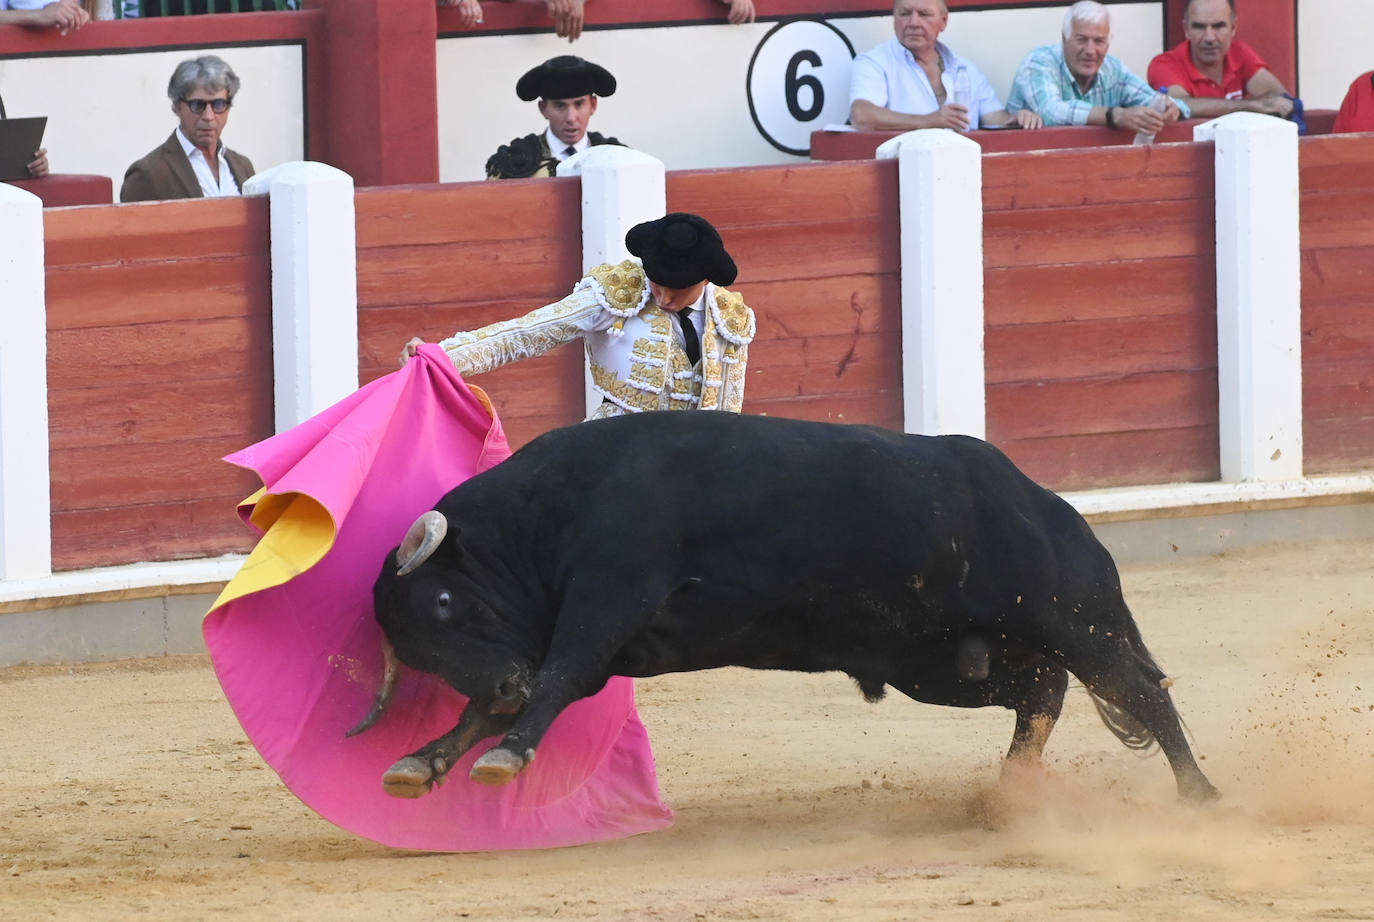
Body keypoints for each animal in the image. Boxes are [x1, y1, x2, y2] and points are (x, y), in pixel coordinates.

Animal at [354, 409, 1225, 802]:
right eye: (418, 645)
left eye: (443, 601)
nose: (505, 683)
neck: (545, 516)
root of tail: (1046, 501)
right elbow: (491, 708)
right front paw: (422, 761)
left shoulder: (607, 600)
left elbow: (558, 678)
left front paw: (502, 754)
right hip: (942, 661)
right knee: (1041, 691)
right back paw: (1008, 792)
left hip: (1067, 615)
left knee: (1137, 689)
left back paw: (1199, 795)